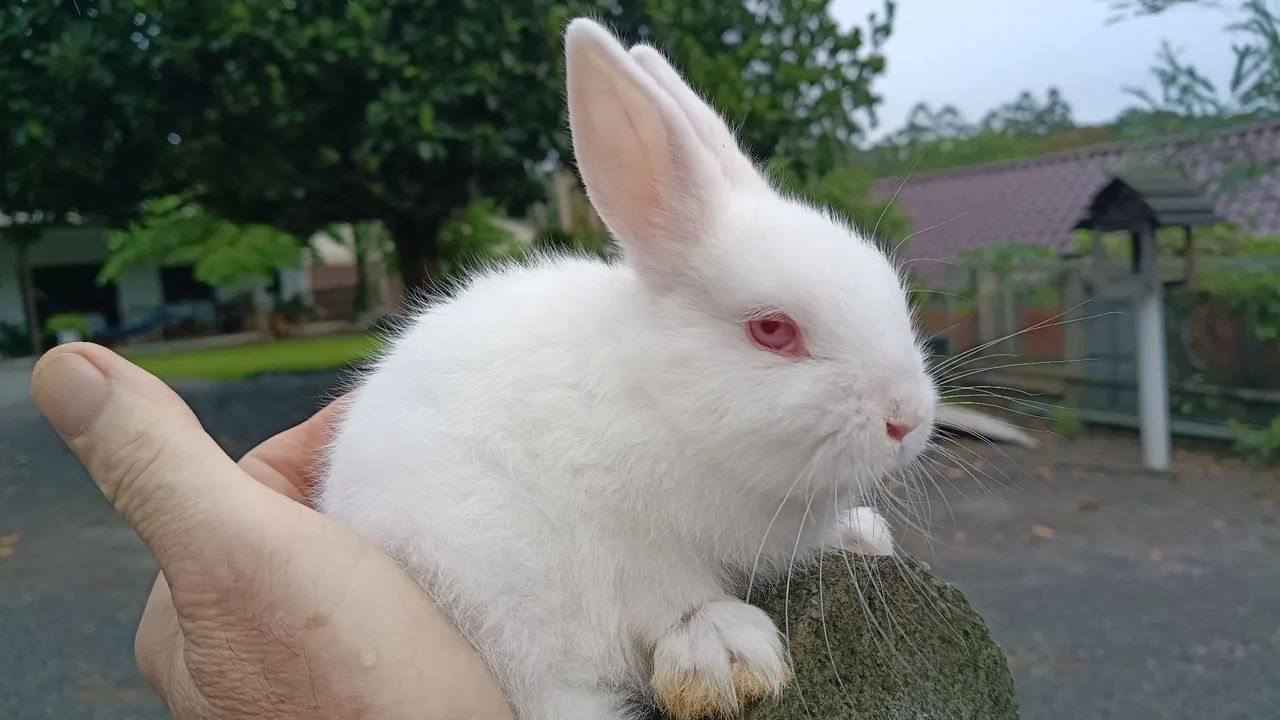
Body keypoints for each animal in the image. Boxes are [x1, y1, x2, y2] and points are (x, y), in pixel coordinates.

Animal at [318, 17, 936, 720]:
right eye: (773, 330)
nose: (907, 420)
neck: (664, 403)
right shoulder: (623, 541)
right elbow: (668, 597)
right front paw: (724, 651)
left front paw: (863, 535)